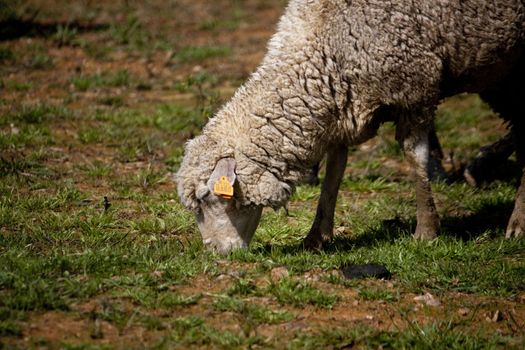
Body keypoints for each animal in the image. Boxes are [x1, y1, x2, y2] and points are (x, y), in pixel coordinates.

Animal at [177, 0, 524, 253]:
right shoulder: (341, 104)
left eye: (210, 197)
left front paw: (426, 230)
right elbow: (334, 171)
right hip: (500, 70)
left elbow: (415, 158)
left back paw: (515, 220)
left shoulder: (414, 87)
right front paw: (317, 237)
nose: (215, 252)